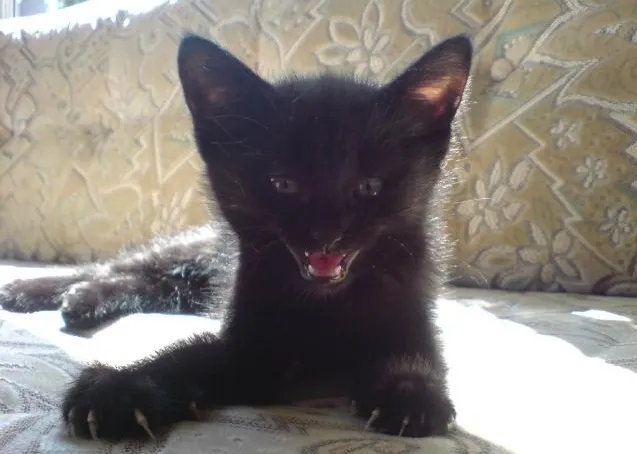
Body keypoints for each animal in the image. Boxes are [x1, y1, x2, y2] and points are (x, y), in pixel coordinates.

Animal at [0, 33, 472, 440]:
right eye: (282, 183)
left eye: (369, 186)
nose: (326, 235)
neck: (326, 306)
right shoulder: (251, 348)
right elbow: (192, 355)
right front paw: (120, 389)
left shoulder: (413, 309)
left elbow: (417, 354)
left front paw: (411, 392)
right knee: (116, 266)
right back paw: (37, 289)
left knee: (142, 282)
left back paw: (83, 300)